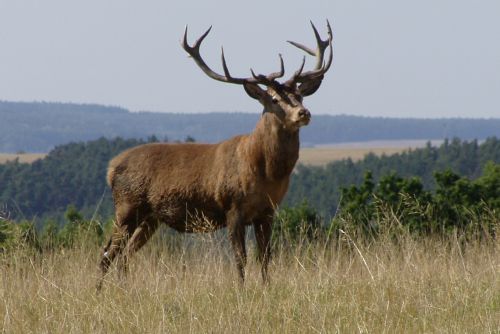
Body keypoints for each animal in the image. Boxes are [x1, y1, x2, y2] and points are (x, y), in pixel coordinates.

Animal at [97, 20, 332, 290]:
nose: (303, 113)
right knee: (107, 252)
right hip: (126, 206)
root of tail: (110, 168)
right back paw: (99, 291)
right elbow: (241, 258)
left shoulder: (268, 212)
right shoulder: (233, 207)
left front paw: (266, 288)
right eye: (273, 99)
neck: (264, 170)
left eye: (300, 95)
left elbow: (265, 257)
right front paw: (241, 290)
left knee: (123, 255)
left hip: (150, 218)